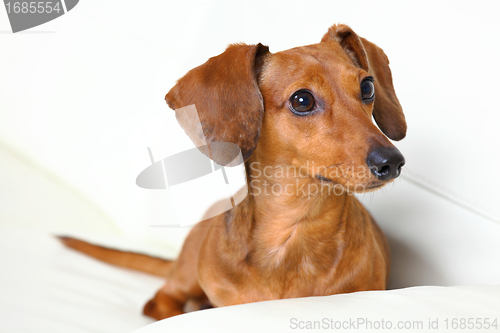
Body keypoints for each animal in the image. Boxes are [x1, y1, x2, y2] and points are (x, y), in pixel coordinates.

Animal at [61, 23, 406, 320]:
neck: (293, 231)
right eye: (302, 100)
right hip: (186, 274)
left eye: (367, 86)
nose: (392, 162)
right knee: (159, 301)